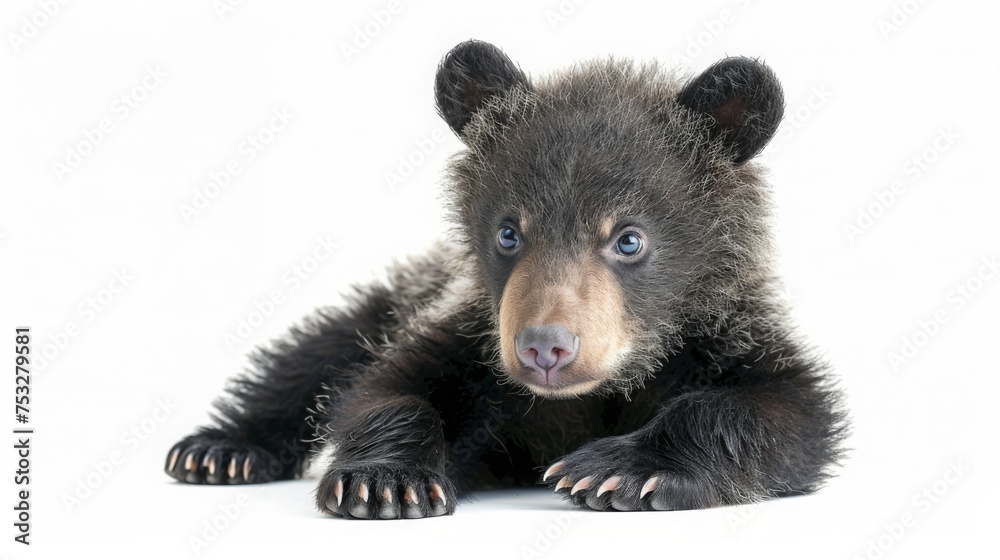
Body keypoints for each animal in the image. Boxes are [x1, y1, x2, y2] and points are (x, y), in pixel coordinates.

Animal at [165, 39, 848, 519]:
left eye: (629, 238)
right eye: (509, 233)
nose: (545, 347)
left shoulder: (724, 335)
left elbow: (785, 409)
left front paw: (617, 469)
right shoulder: (470, 332)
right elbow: (385, 385)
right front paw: (385, 479)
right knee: (312, 351)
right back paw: (219, 450)